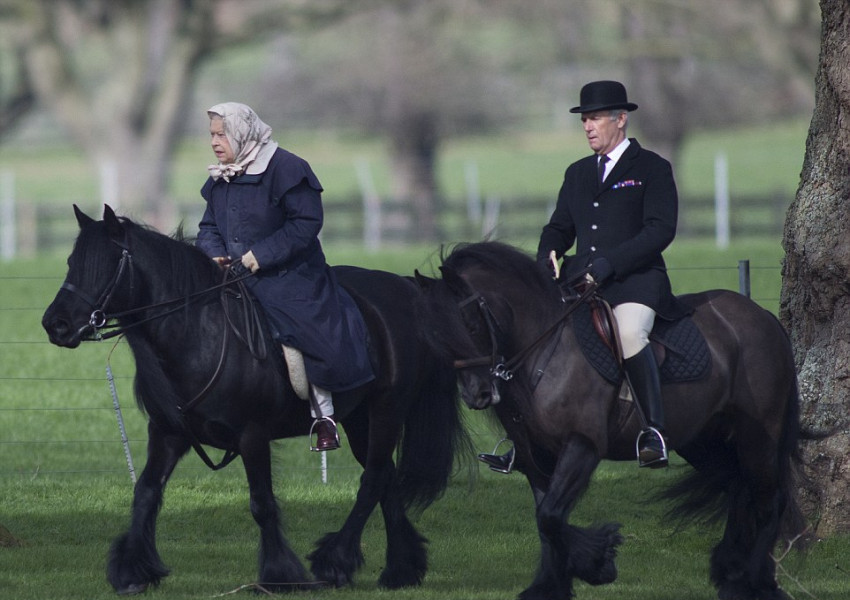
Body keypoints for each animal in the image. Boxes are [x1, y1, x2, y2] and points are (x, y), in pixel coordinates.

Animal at [41, 207, 470, 596]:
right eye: (72, 263)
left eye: (104, 265)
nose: (55, 324)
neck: (201, 334)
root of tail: (405, 290)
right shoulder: (168, 433)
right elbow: (146, 493)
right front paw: (133, 571)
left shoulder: (252, 436)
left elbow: (261, 503)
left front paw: (281, 575)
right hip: (359, 419)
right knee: (385, 479)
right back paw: (401, 570)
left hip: (386, 412)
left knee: (373, 480)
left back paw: (335, 563)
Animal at [418, 241, 808, 600]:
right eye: (435, 331)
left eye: (468, 323)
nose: (478, 394)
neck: (545, 350)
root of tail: (763, 318)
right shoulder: (536, 456)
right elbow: (546, 518)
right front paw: (551, 585)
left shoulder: (583, 445)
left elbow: (551, 516)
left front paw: (598, 562)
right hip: (703, 440)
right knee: (737, 489)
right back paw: (730, 572)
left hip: (759, 436)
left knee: (770, 499)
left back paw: (755, 582)